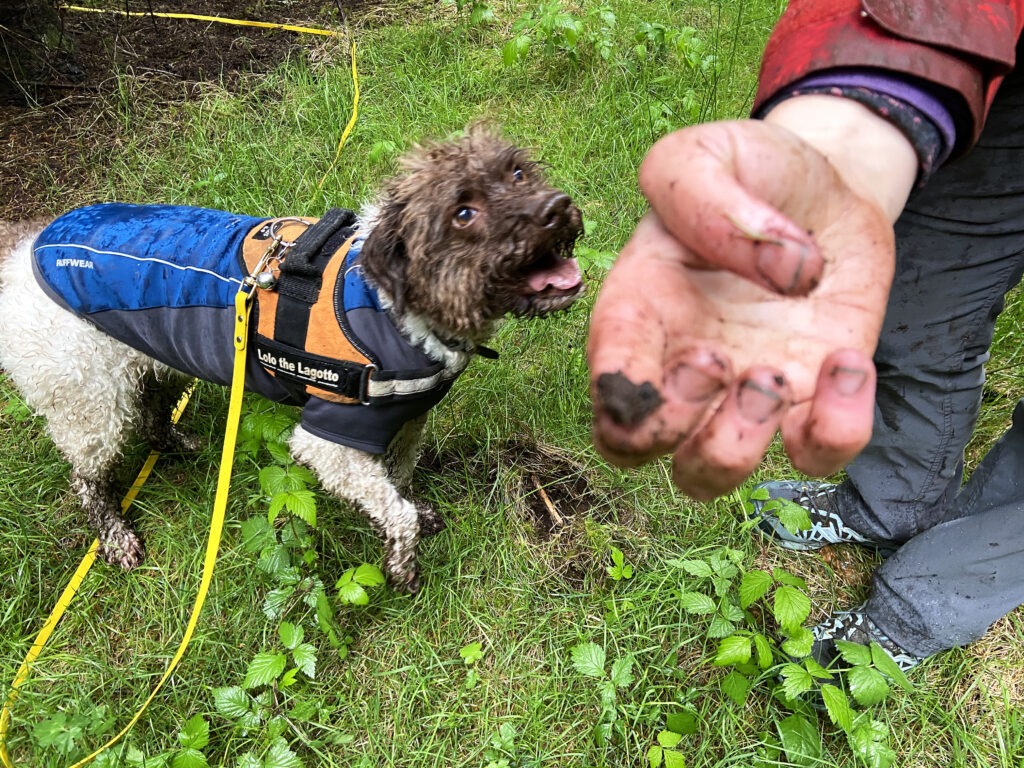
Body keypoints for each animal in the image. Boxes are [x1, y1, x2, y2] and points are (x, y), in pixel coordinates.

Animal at [0, 126, 585, 593]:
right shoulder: (330, 441)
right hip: (88, 404)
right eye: (463, 212)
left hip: (147, 364)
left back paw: (178, 444)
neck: (394, 305)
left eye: (517, 171)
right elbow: (395, 512)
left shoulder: (406, 420)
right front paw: (403, 567)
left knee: (150, 414)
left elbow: (399, 481)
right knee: (87, 478)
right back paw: (115, 536)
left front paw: (417, 511)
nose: (557, 208)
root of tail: (23, 255)